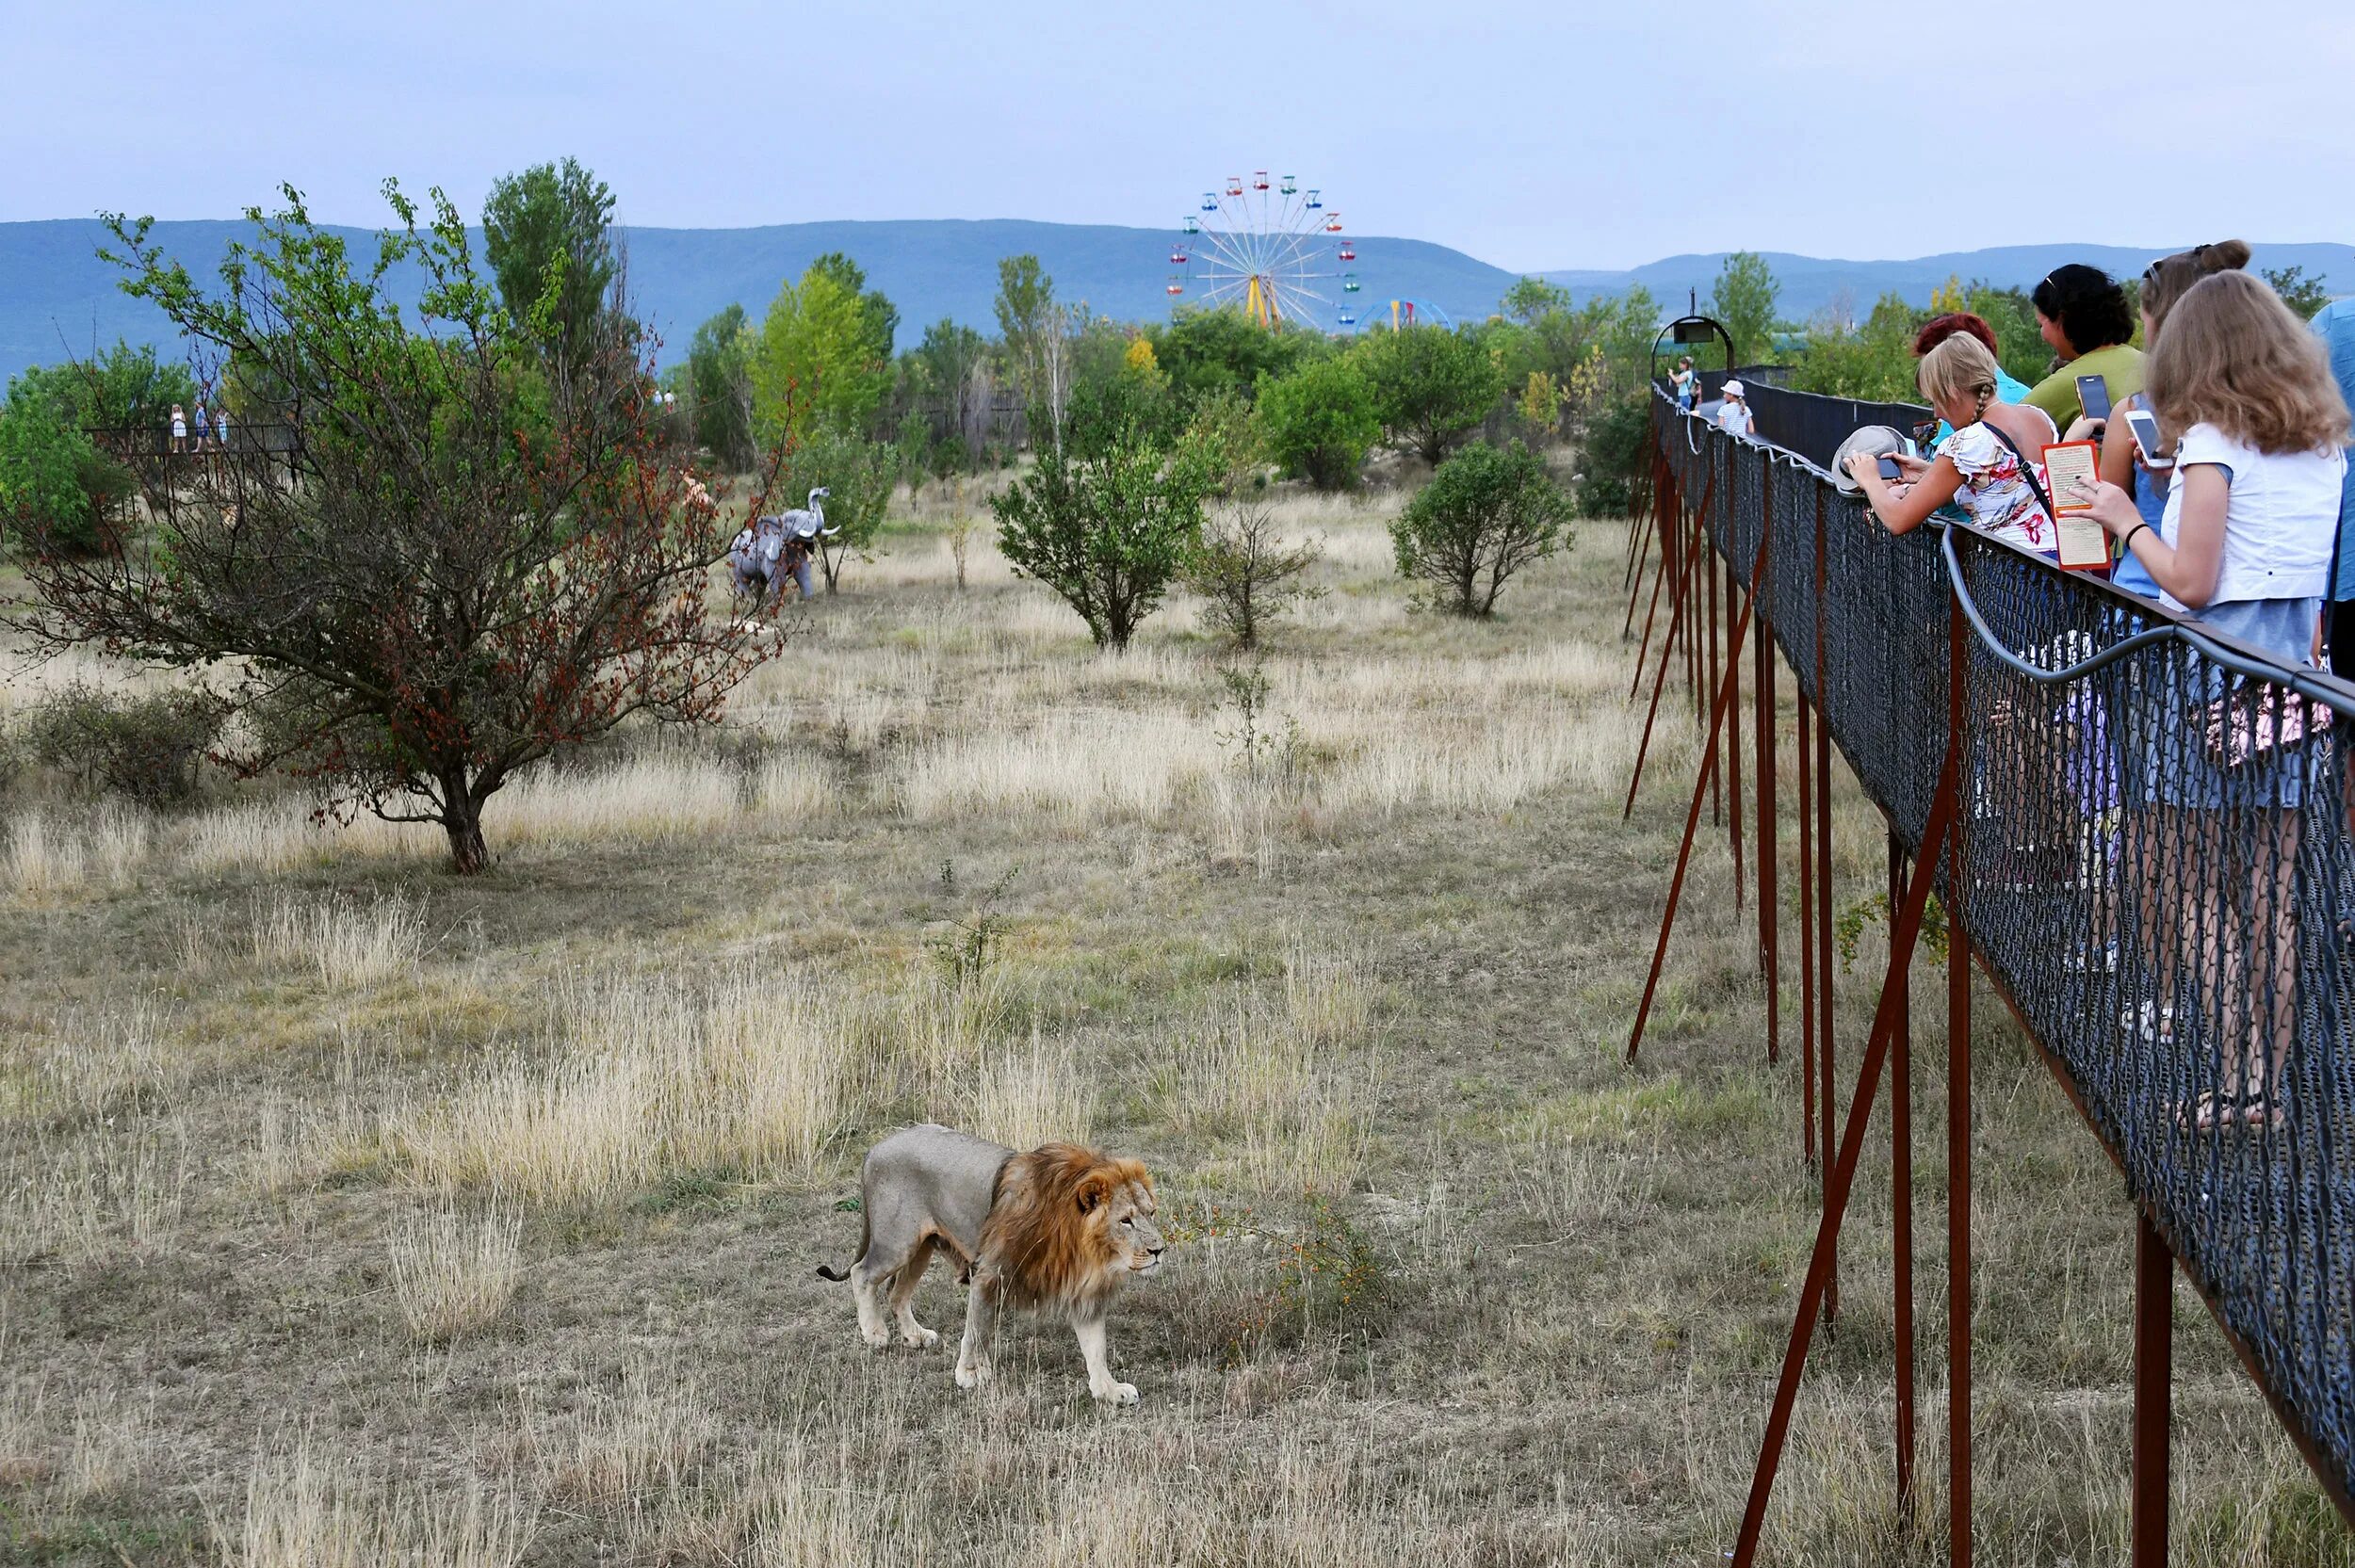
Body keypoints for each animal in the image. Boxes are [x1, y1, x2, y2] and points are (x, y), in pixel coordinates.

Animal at [820, 1116, 1168, 1394]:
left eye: (1150, 1213)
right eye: (1125, 1220)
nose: (1159, 1250)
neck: (1085, 1249)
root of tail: (876, 1148)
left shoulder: (1084, 1291)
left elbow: (1096, 1347)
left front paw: (1109, 1390)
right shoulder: (989, 1272)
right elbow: (976, 1331)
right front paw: (970, 1374)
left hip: (922, 1247)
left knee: (896, 1292)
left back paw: (915, 1336)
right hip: (897, 1242)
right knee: (862, 1273)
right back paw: (875, 1334)